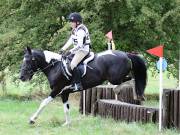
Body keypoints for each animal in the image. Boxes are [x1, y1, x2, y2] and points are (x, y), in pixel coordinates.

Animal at [19, 47, 147, 126]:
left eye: (29, 60)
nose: (22, 77)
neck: (55, 66)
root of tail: (126, 54)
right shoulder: (64, 92)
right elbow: (66, 108)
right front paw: (67, 124)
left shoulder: (56, 90)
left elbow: (43, 103)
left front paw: (32, 120)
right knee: (132, 80)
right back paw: (137, 95)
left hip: (115, 78)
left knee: (129, 80)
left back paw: (123, 91)